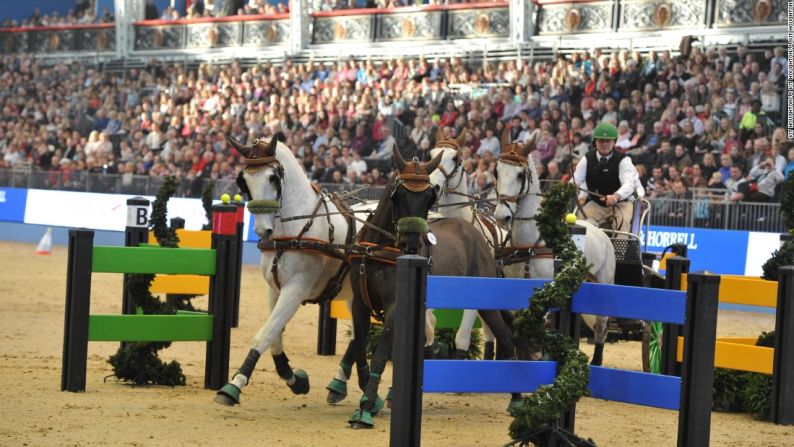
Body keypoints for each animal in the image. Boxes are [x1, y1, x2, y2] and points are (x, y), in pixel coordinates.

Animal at [217, 136, 366, 406]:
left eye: (273, 177)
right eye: (244, 181)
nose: (262, 230)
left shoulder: (296, 290)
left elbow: (263, 335)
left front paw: (234, 384)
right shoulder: (274, 289)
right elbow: (274, 338)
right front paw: (295, 379)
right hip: (355, 297)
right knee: (359, 337)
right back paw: (339, 385)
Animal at [488, 130, 612, 368]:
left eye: (520, 175)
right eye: (496, 171)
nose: (501, 216)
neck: (528, 245)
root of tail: (599, 231)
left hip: (605, 285)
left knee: (601, 328)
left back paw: (597, 362)